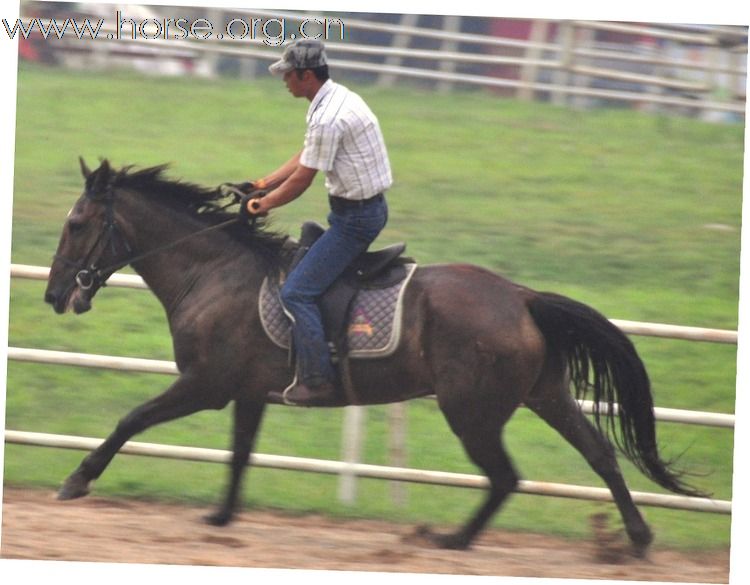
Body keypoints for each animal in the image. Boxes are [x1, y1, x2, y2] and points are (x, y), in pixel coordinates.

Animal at [45, 159, 704, 552]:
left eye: (76, 222)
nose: (54, 295)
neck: (212, 273)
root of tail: (522, 296)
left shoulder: (205, 385)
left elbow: (131, 419)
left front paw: (77, 480)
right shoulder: (247, 393)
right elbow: (239, 455)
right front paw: (222, 518)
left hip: (472, 411)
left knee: (505, 476)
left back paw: (452, 541)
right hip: (545, 395)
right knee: (600, 456)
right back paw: (638, 536)